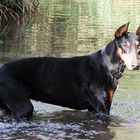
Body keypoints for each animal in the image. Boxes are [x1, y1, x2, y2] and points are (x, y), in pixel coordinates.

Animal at [0, 22, 139, 118]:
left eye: (138, 46)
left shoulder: (93, 109)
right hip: (22, 107)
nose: (135, 65)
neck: (108, 66)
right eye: (125, 45)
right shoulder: (102, 109)